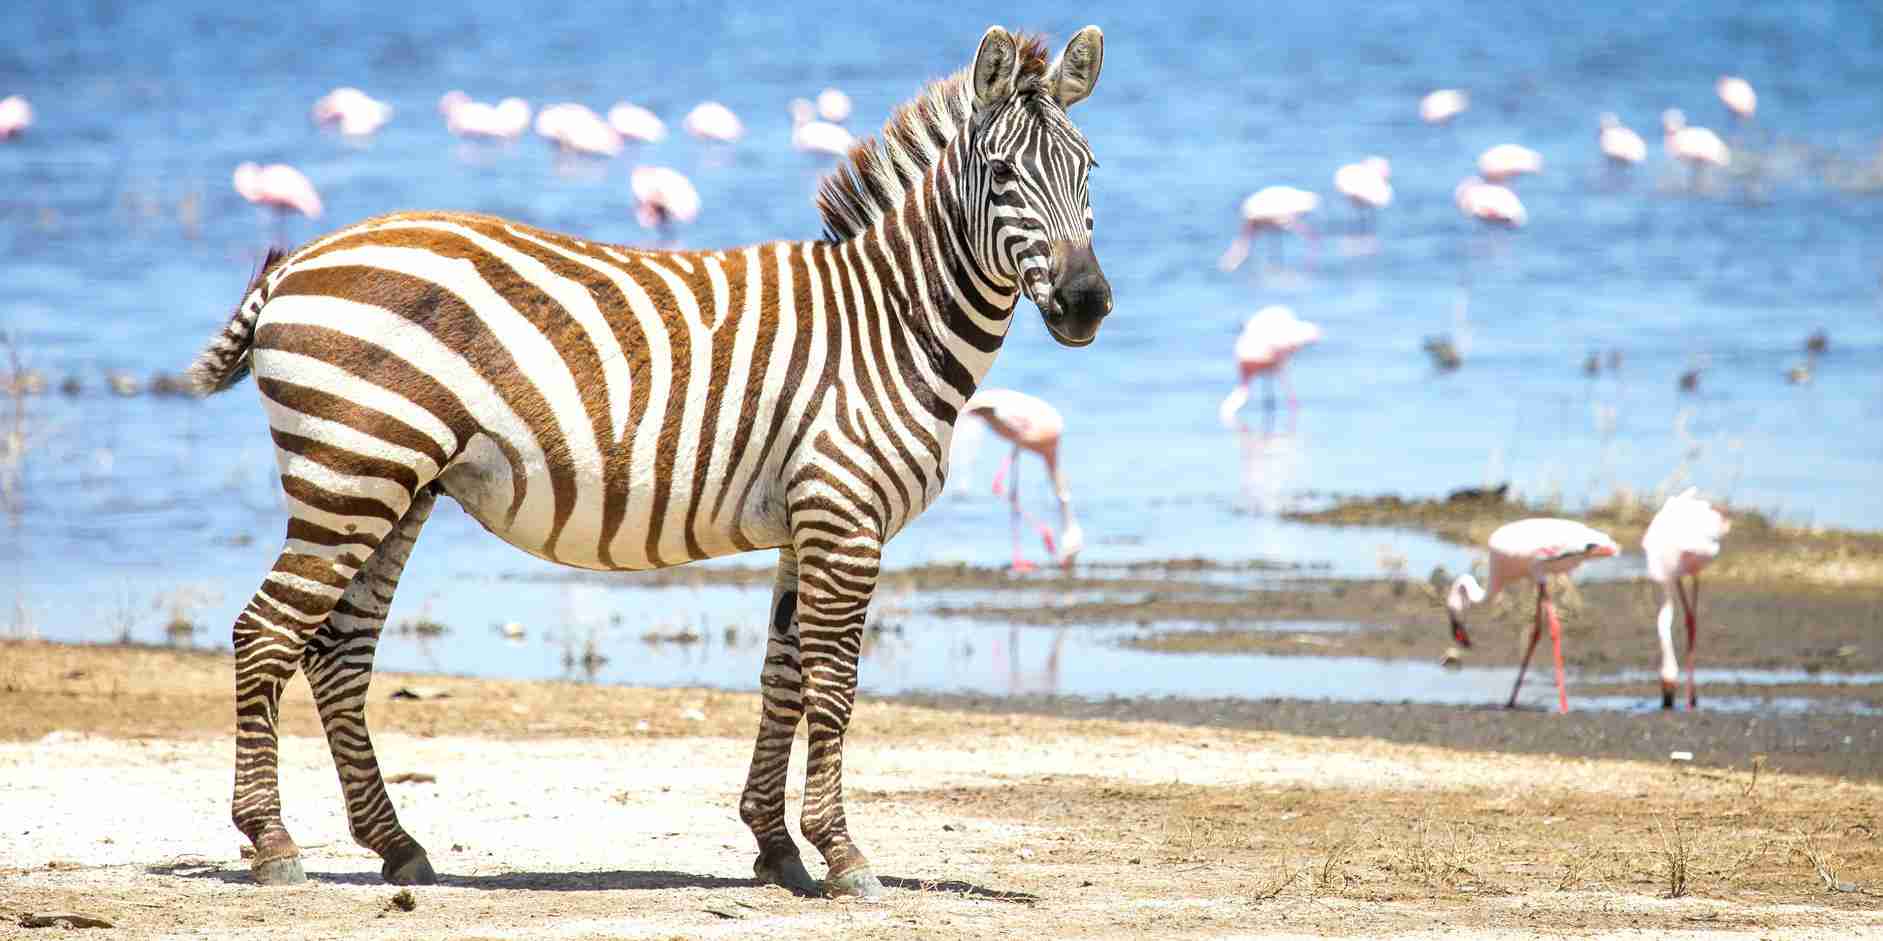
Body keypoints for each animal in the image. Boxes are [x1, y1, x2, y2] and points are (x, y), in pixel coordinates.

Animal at [188, 24, 1108, 899]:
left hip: (397, 487)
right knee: (266, 632)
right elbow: (834, 686)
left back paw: (397, 844)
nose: (1086, 303)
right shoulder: (843, 517)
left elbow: (782, 676)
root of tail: (297, 260)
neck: (889, 322)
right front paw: (843, 854)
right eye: (1001, 173)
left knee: (338, 651)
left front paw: (775, 846)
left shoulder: (802, 522)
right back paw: (273, 842)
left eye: (1088, 169)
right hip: (350, 475)